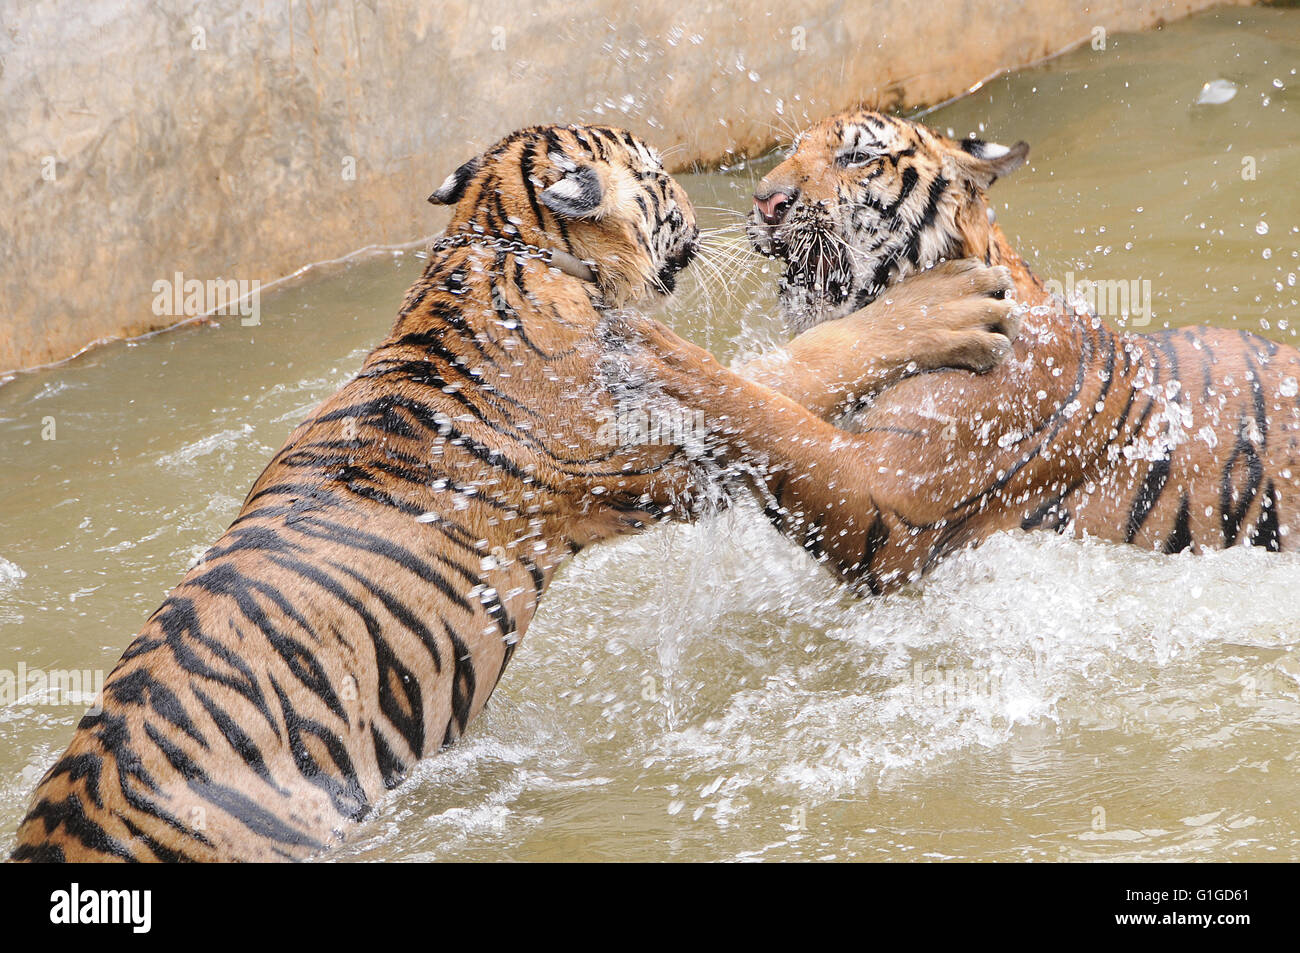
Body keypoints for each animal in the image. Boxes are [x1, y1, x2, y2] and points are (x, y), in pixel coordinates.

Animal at [12, 122, 1024, 858]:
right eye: (661, 174)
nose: (741, 203)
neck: (494, 238)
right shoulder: (668, 448)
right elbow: (795, 368)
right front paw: (950, 306)